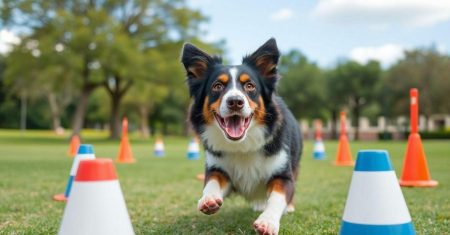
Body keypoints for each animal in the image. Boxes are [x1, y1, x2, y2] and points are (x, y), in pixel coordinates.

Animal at [180, 37, 302, 234]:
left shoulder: (282, 173)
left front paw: (267, 221)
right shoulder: (218, 167)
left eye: (249, 86)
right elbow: (211, 181)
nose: (235, 101)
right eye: (217, 86)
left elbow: (277, 198)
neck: (242, 144)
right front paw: (208, 199)